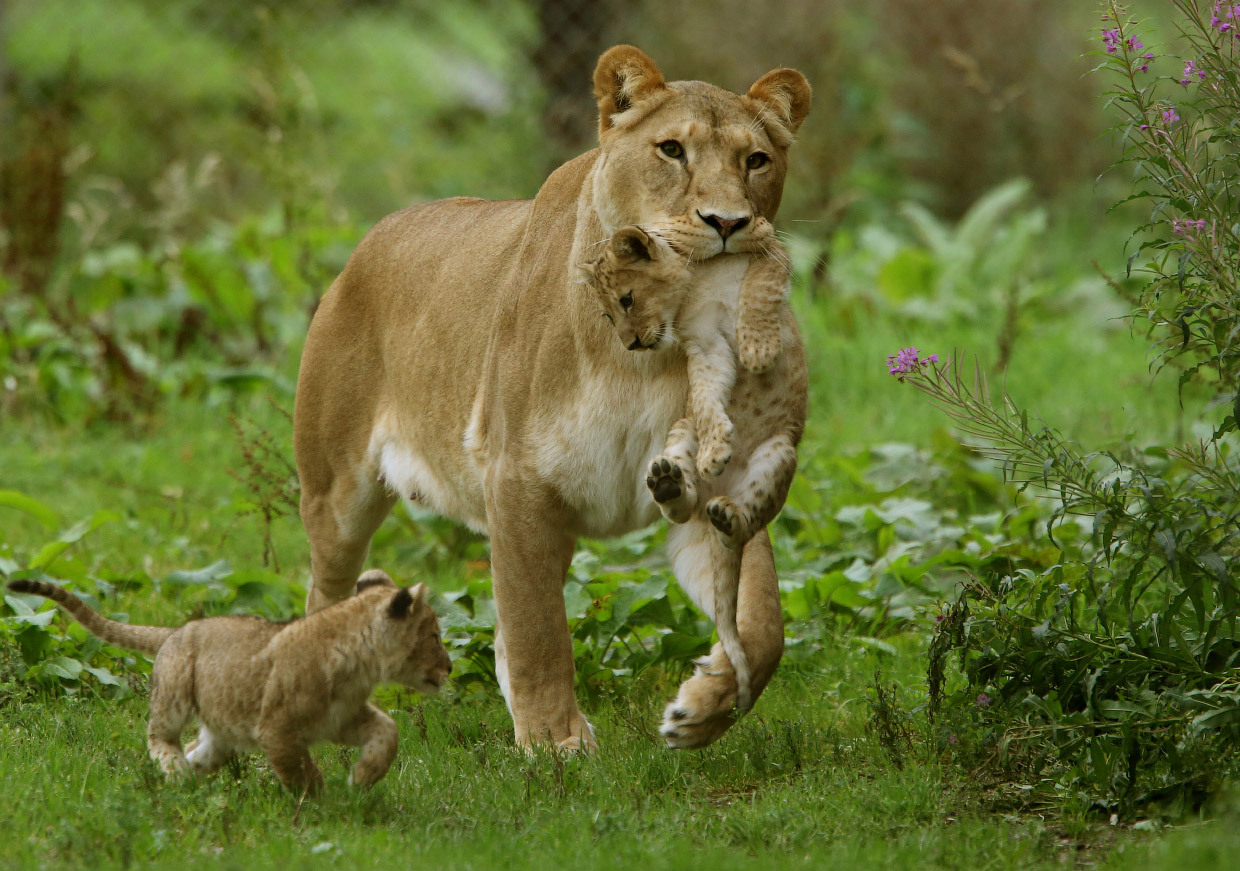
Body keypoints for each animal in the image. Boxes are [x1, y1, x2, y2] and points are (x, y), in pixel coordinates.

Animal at [292, 45, 813, 749]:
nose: (727, 223)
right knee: (324, 596)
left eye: (756, 160)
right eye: (671, 149)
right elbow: (540, 629)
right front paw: (556, 743)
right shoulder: (518, 480)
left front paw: (702, 711)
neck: (644, 361)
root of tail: (364, 247)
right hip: (334, 495)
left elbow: (764, 622)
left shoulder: (714, 481)